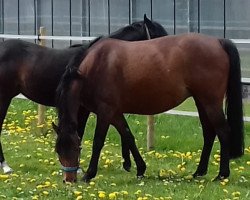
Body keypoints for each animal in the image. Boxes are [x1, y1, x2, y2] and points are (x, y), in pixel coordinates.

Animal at [0, 14, 168, 173]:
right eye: (159, 36)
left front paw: (126, 163)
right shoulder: (86, 108)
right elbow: (80, 133)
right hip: (4, 98)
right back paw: (6, 166)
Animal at [55, 33, 244, 183]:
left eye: (76, 149)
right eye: (58, 151)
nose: (69, 180)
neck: (94, 66)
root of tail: (218, 41)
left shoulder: (105, 112)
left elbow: (98, 142)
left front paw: (89, 174)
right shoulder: (115, 113)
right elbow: (128, 136)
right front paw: (140, 169)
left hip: (210, 102)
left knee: (223, 131)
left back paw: (222, 175)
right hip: (201, 101)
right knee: (209, 133)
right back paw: (199, 172)